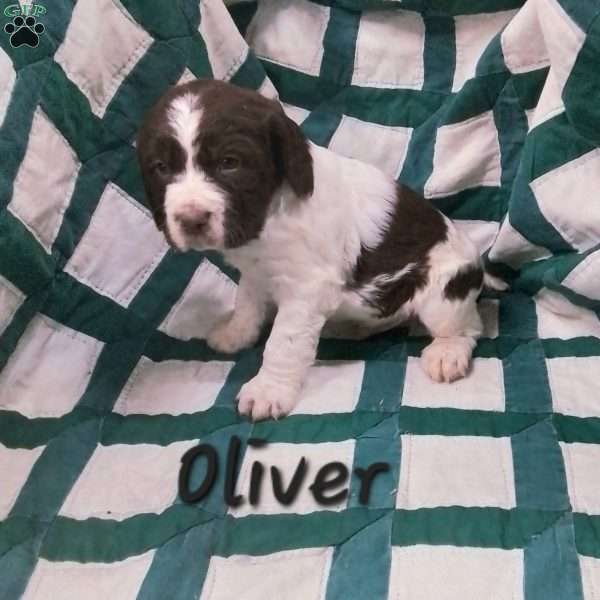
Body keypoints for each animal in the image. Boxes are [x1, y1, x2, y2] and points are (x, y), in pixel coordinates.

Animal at [137, 77, 502, 420]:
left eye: (230, 162)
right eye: (161, 168)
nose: (191, 220)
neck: (268, 217)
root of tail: (477, 267)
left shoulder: (306, 288)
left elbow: (283, 342)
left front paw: (268, 390)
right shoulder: (256, 273)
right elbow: (247, 304)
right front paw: (236, 334)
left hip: (443, 292)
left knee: (467, 327)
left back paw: (447, 352)